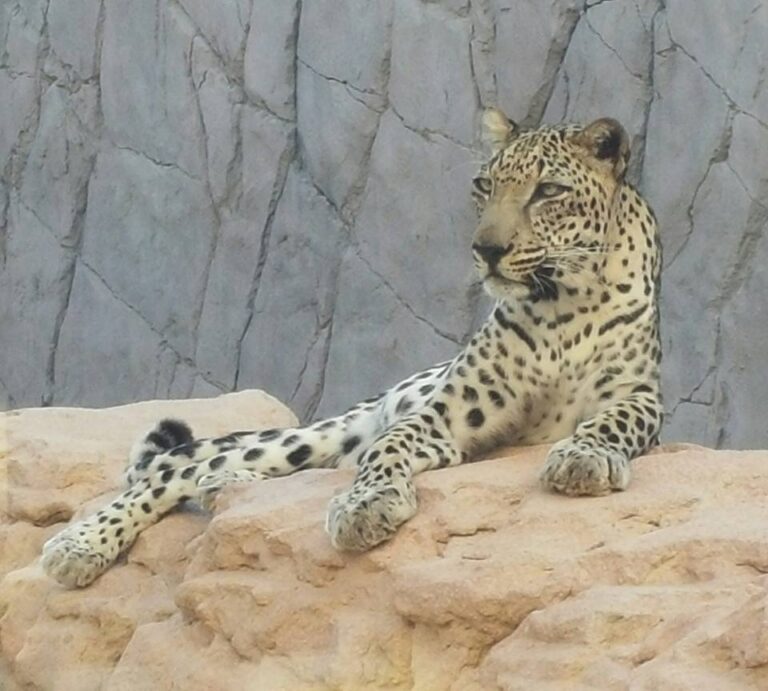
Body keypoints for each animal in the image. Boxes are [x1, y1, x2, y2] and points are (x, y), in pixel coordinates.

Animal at [42, 108, 663, 588]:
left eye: (548, 192)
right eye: (485, 187)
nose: (486, 249)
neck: (563, 304)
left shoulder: (641, 397)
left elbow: (611, 422)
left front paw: (583, 458)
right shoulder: (441, 415)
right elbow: (388, 449)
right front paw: (366, 507)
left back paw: (223, 489)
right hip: (314, 435)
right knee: (175, 472)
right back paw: (80, 545)